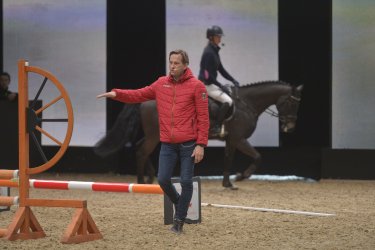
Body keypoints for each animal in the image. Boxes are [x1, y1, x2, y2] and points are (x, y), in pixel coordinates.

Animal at [94, 81, 302, 188]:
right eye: (292, 102)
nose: (291, 127)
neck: (247, 104)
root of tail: (146, 99)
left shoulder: (231, 140)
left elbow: (228, 159)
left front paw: (227, 183)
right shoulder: (239, 139)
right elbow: (258, 157)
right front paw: (241, 176)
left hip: (156, 134)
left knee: (139, 148)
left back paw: (148, 178)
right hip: (154, 135)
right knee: (142, 151)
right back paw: (140, 181)